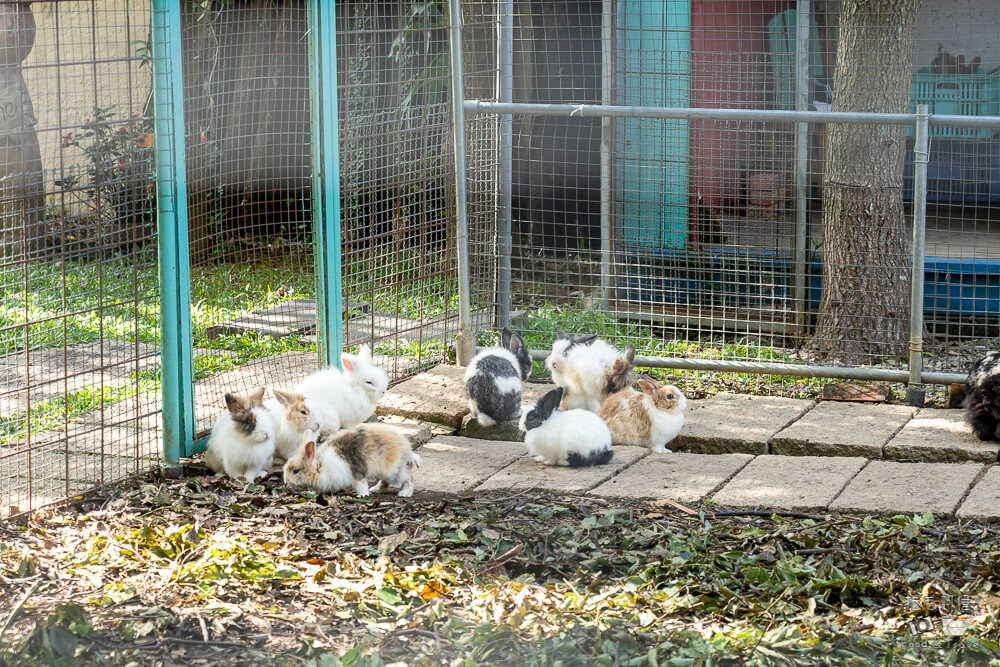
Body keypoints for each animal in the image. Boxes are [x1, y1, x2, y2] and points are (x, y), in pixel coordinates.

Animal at [284, 426, 420, 498]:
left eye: (296, 471)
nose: (286, 483)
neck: (321, 466)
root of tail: (407, 450)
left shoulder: (355, 474)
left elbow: (361, 485)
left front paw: (362, 496)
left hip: (394, 473)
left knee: (409, 478)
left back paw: (404, 493)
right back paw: (375, 489)